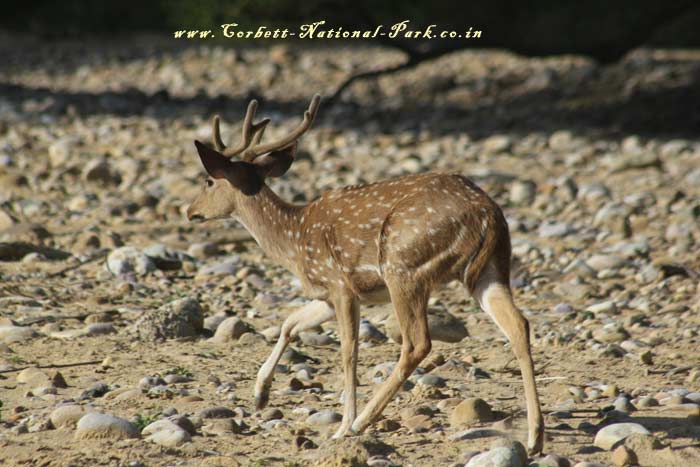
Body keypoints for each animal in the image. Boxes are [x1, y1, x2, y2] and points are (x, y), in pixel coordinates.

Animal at [186, 94, 548, 454]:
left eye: (208, 180)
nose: (190, 211)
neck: (293, 241)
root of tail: (488, 213)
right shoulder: (328, 294)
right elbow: (290, 323)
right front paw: (259, 395)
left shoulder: (339, 284)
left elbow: (348, 352)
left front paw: (342, 424)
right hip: (490, 269)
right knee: (518, 325)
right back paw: (534, 438)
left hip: (404, 267)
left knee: (417, 343)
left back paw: (360, 423)